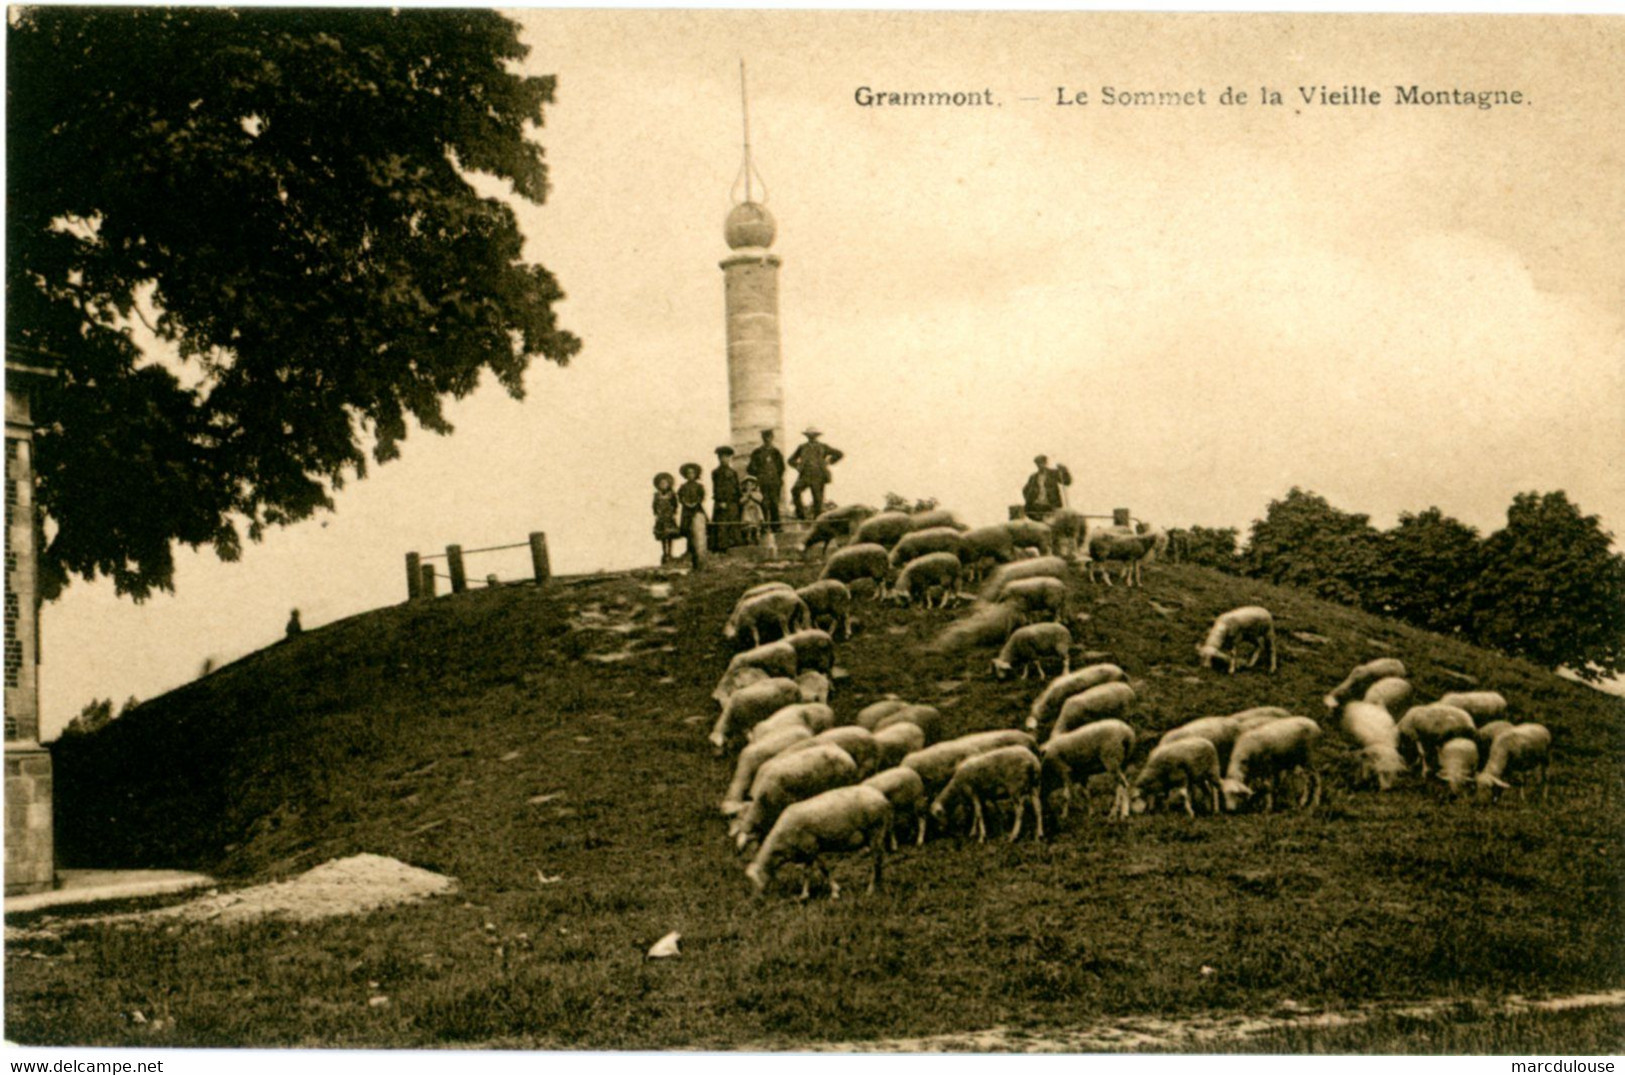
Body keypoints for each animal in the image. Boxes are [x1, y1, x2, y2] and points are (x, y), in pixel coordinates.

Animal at [744, 782, 897, 902]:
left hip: (875, 831)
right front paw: (808, 894)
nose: (755, 900)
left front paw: (831, 892)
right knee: (879, 861)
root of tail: (884, 799)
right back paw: (878, 886)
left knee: (876, 862)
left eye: (754, 881)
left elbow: (819, 869)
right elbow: (812, 870)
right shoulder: (808, 851)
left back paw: (871, 890)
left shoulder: (810, 846)